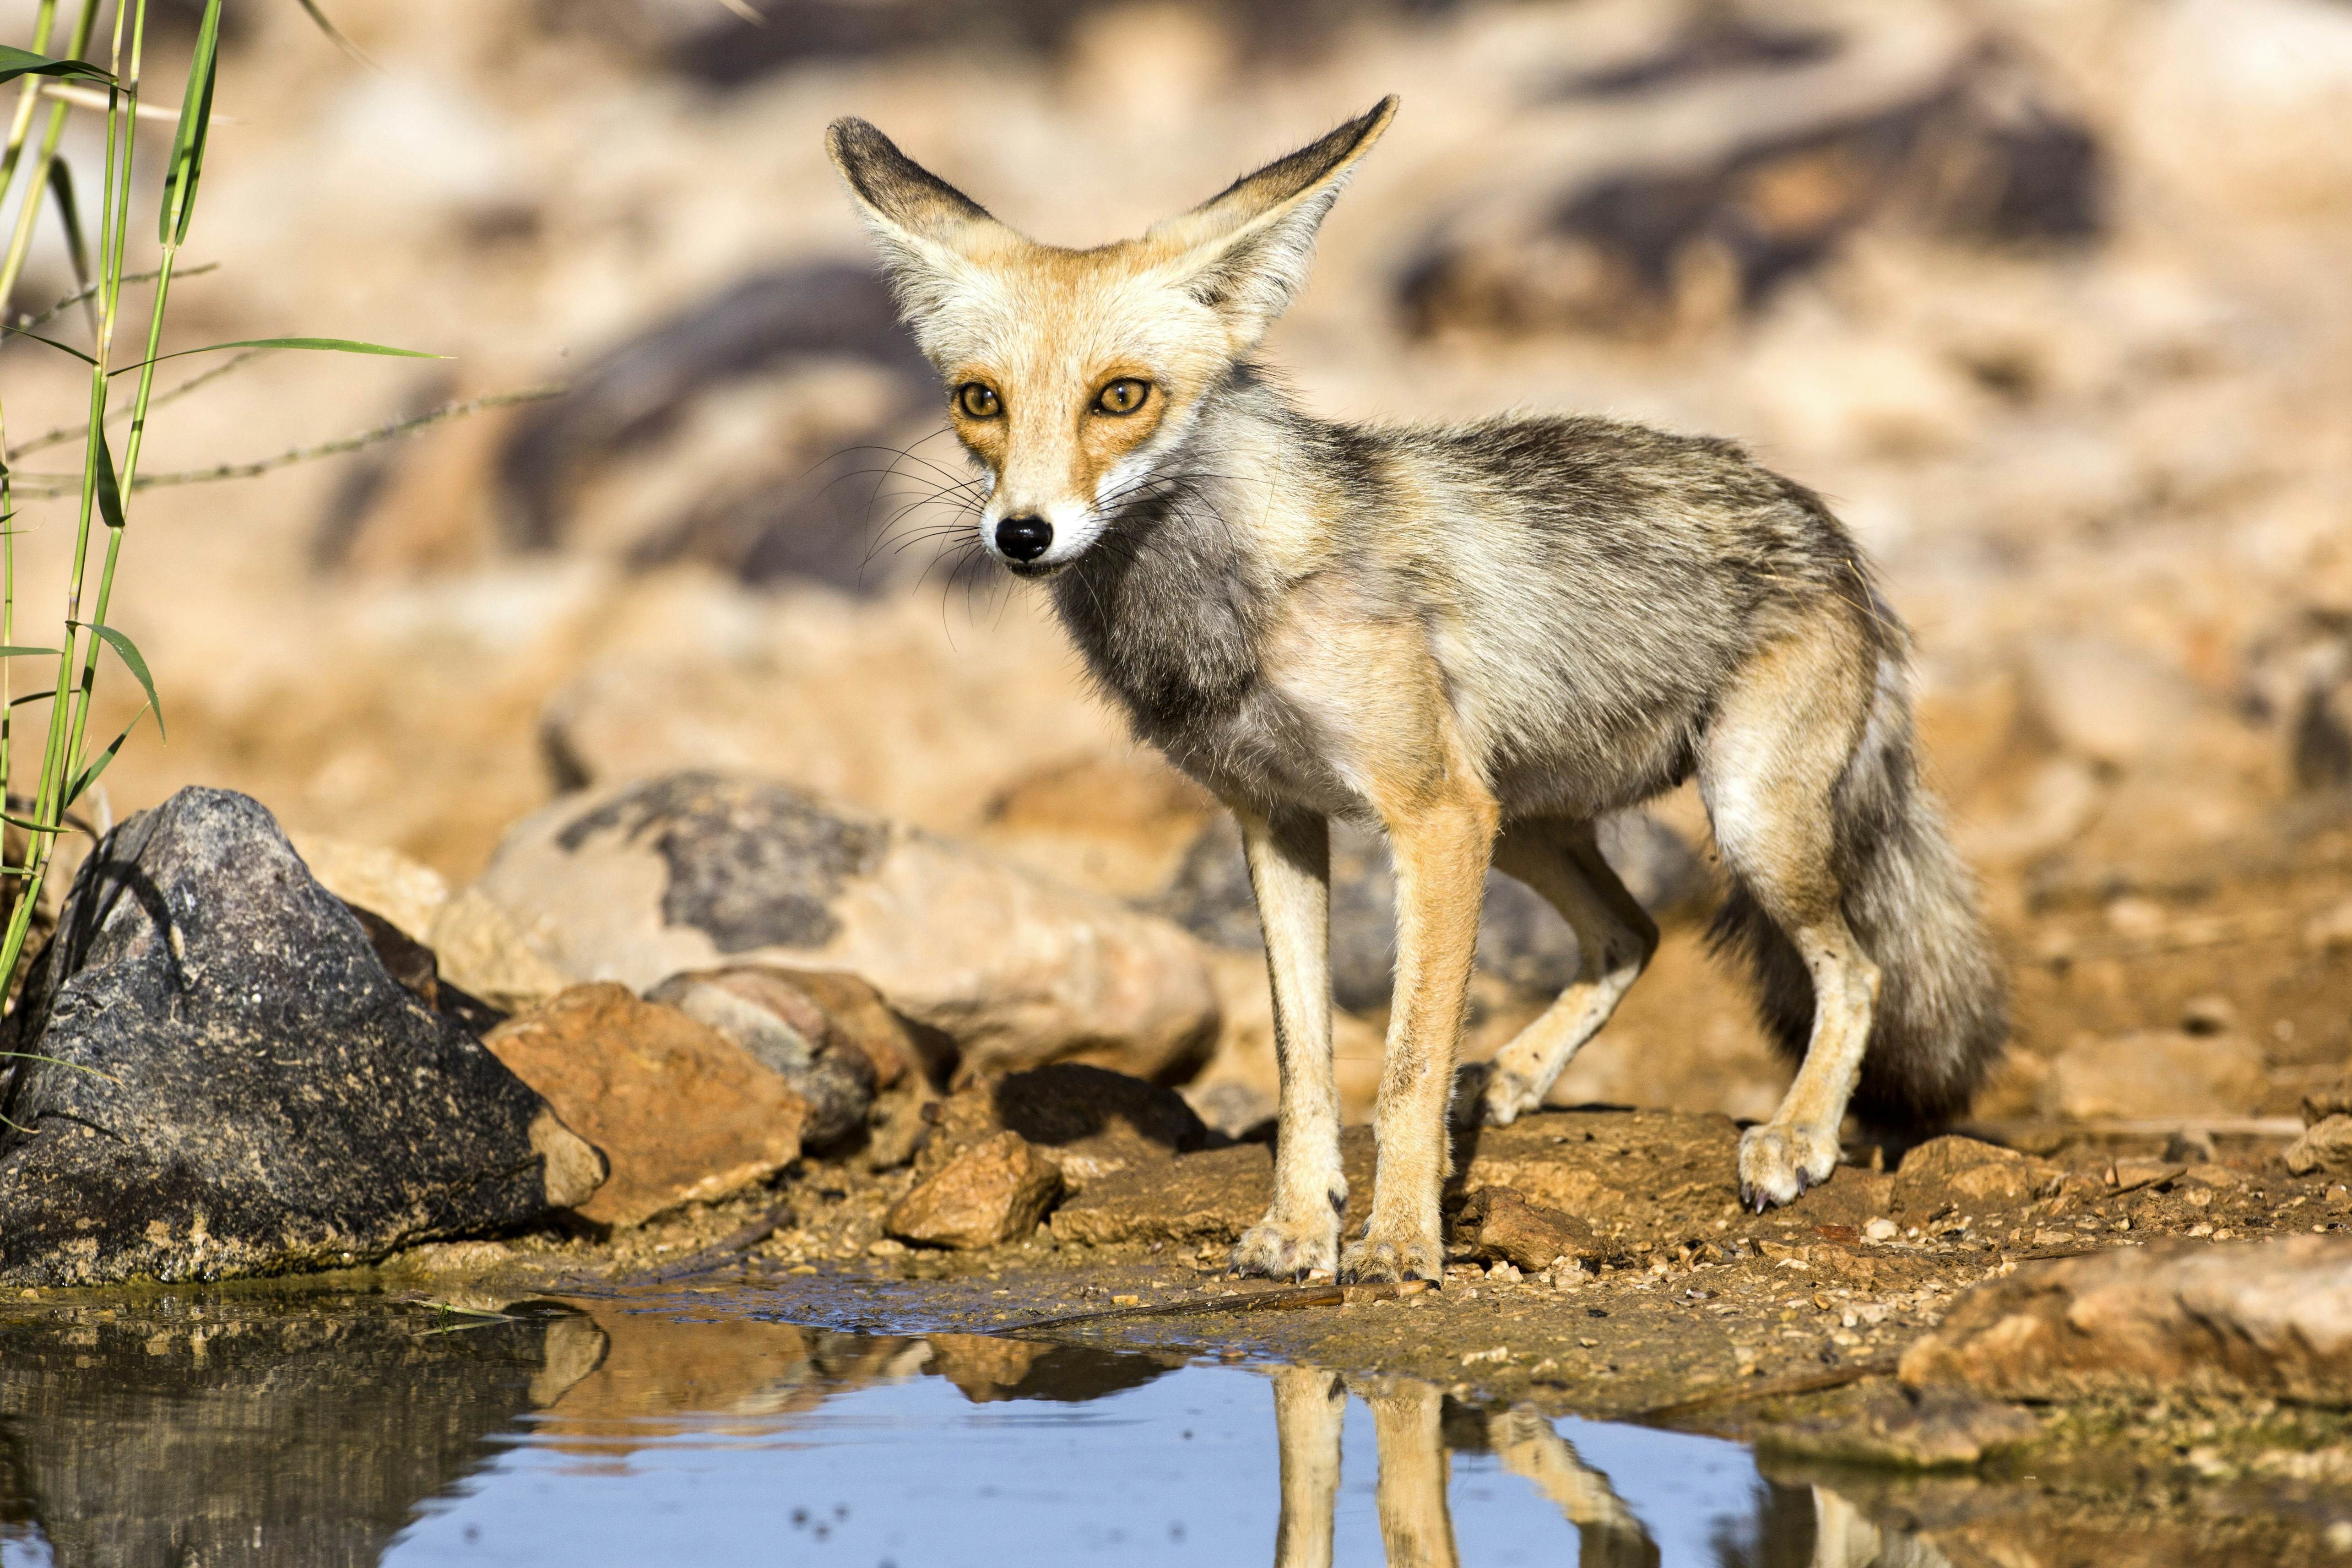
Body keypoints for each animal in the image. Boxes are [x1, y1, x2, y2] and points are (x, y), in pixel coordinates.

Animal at [825, 97, 2006, 1284]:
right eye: (979, 401)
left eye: (1122, 396)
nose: (1021, 534)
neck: (1226, 609)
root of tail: (1827, 525)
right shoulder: (1278, 819)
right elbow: (1304, 1067)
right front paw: (1302, 1226)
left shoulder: (1430, 816)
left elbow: (1404, 1069)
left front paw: (1399, 1240)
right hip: (1526, 821)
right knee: (1632, 933)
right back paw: (1519, 1079)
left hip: (1739, 818)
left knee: (1856, 968)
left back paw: (1797, 1135)